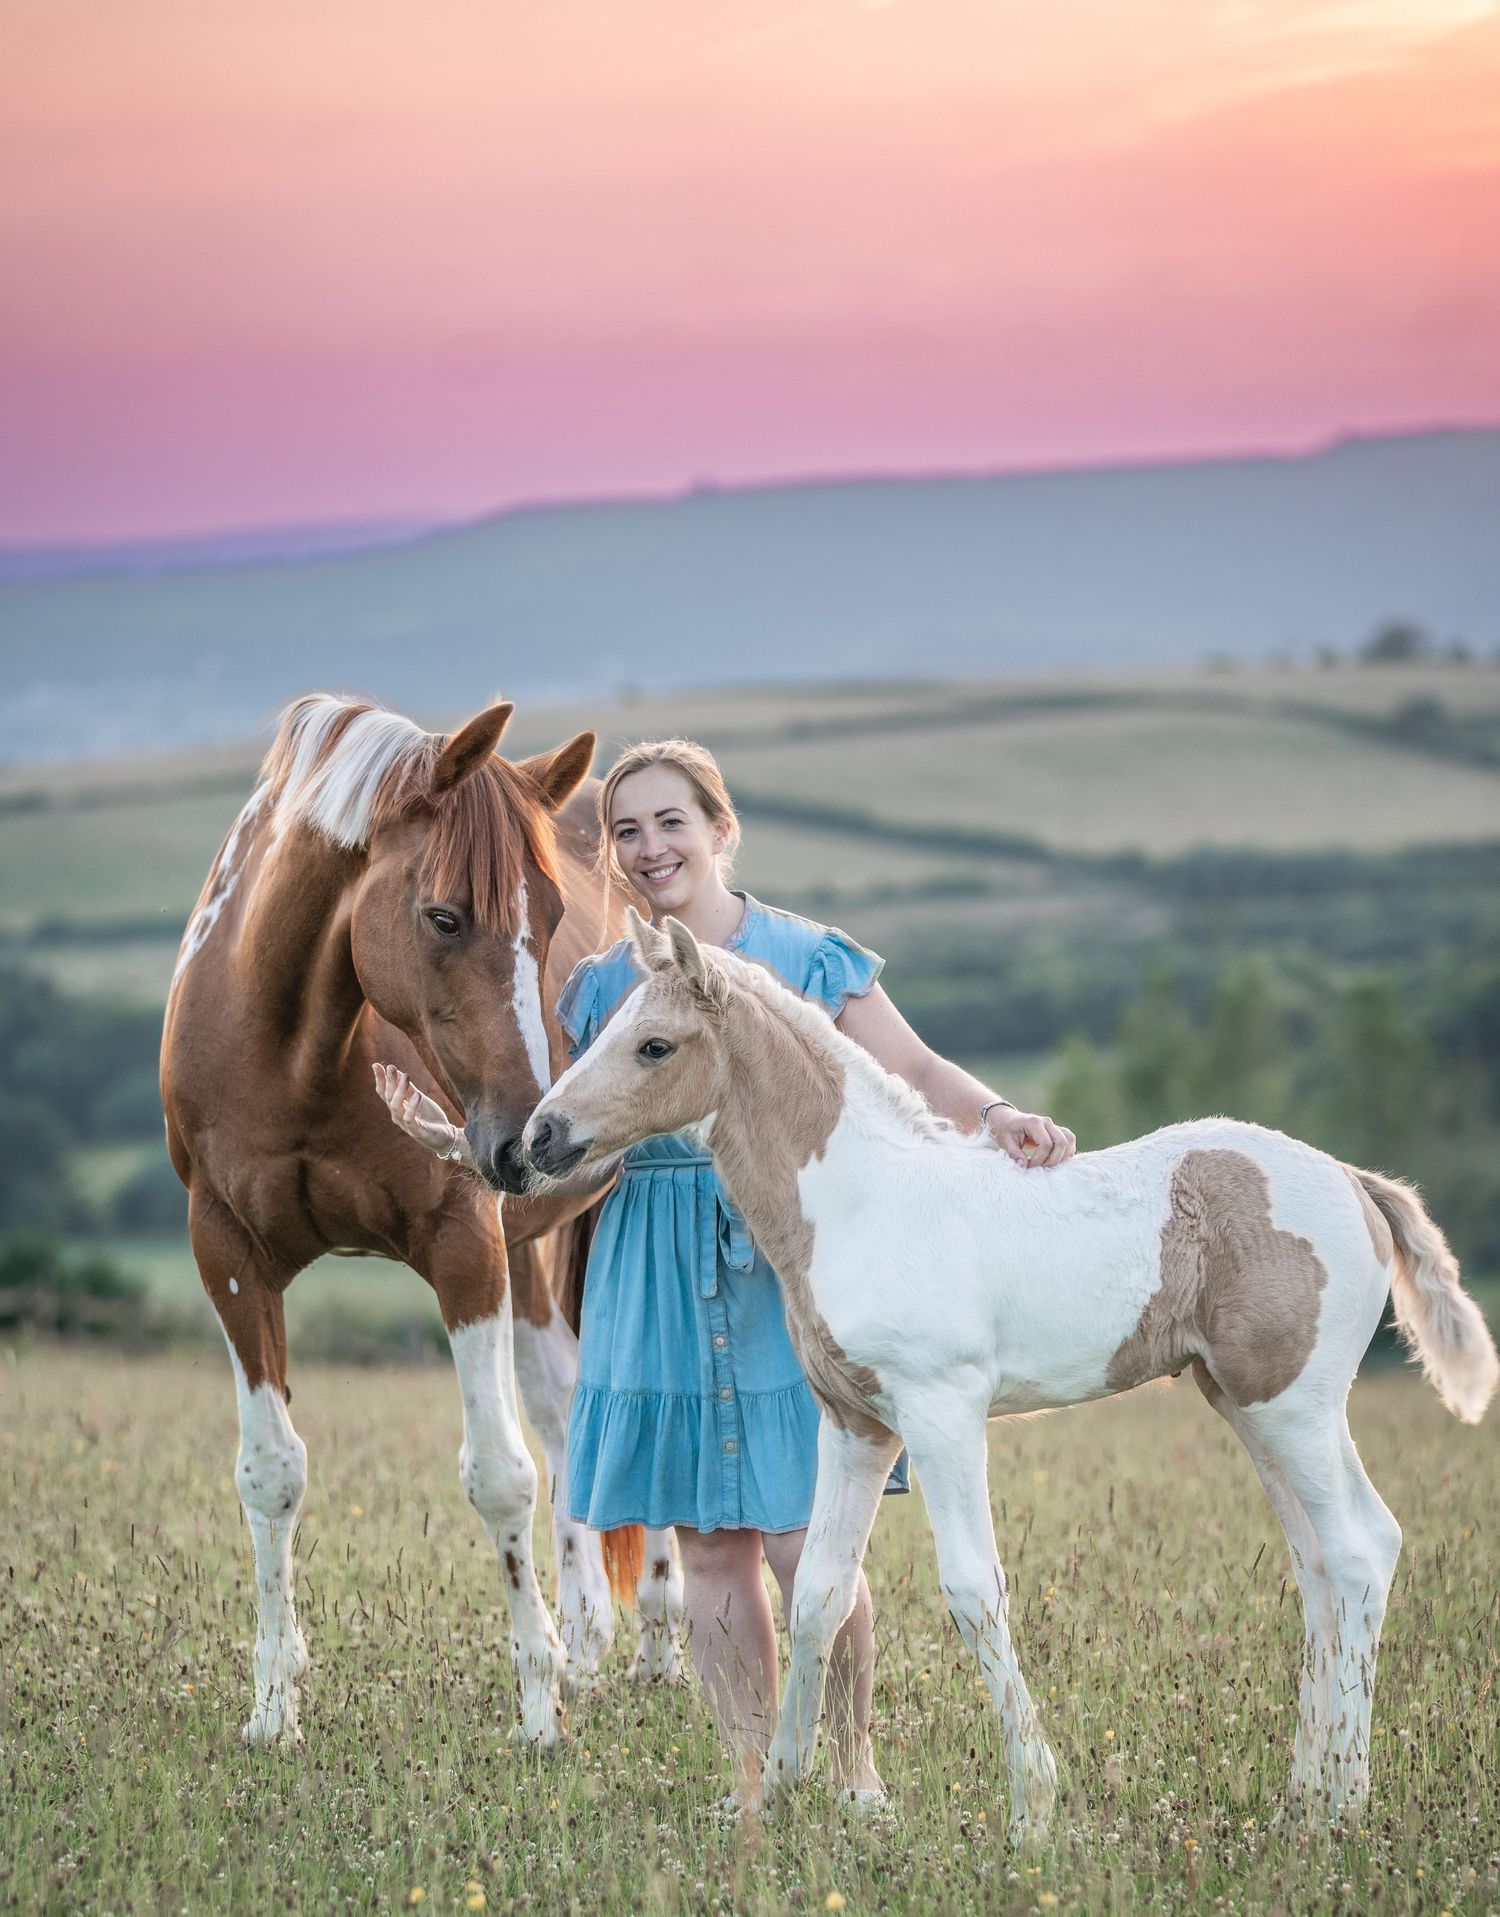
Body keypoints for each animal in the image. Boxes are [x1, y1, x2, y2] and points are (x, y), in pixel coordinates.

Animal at [161, 694, 684, 1752]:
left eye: (551, 917)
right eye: (444, 915)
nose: (531, 1138)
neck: (296, 1050)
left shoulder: (462, 1243)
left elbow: (500, 1474)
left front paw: (538, 1710)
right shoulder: (226, 1251)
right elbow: (270, 1470)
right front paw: (272, 1706)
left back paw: (655, 1640)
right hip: (531, 1256)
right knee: (565, 1407)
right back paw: (589, 1639)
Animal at [522, 909, 1499, 1835]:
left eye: (655, 1044)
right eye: (605, 1026)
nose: (540, 1135)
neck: (863, 1201)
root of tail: (1353, 1179)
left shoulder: (942, 1411)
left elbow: (972, 1588)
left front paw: (1034, 1803)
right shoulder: (855, 1424)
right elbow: (819, 1594)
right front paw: (788, 1780)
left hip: (1294, 1403)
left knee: (1360, 1550)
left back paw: (1342, 1806)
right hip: (1247, 1404)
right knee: (1321, 1570)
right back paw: (1305, 1796)